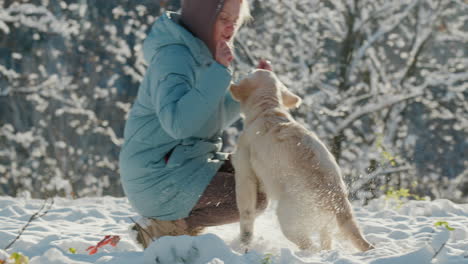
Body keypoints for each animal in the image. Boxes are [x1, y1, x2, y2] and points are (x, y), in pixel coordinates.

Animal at [229, 69, 372, 252]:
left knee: (310, 246)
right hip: (325, 227)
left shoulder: (245, 174)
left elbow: (246, 214)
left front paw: (243, 244)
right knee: (324, 244)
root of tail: (338, 202)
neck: (268, 109)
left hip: (287, 219)